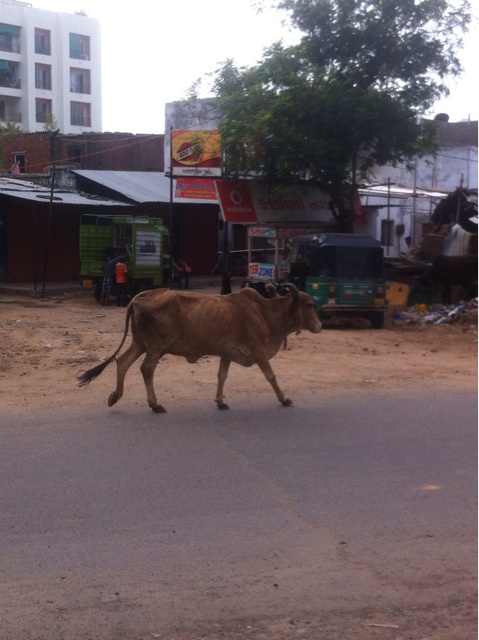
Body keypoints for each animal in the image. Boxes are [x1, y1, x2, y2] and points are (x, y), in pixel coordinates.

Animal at [78, 284, 322, 412]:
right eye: (310, 305)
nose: (320, 326)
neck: (266, 313)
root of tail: (141, 296)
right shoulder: (259, 352)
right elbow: (271, 376)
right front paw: (284, 399)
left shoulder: (226, 353)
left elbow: (222, 376)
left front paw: (221, 401)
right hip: (155, 346)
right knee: (146, 369)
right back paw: (155, 405)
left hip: (140, 343)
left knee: (123, 362)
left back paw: (115, 396)